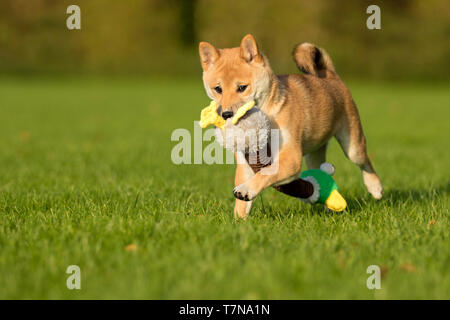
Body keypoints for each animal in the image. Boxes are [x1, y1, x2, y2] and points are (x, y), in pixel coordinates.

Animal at [199, 35, 382, 220]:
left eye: (242, 88)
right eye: (218, 89)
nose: (226, 114)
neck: (267, 113)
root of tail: (330, 76)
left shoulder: (291, 157)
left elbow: (266, 173)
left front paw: (246, 190)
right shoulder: (245, 161)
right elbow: (242, 203)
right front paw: (238, 220)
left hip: (353, 146)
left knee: (366, 162)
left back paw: (375, 188)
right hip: (314, 155)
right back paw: (329, 207)